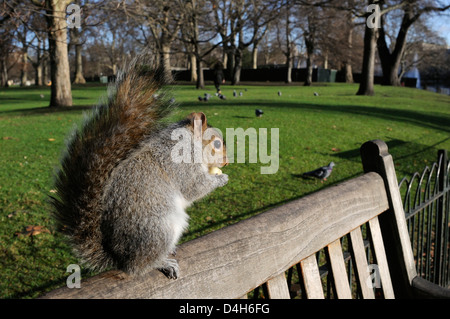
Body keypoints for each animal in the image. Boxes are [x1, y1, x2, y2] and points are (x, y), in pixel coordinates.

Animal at [50, 54, 229, 280]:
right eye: (217, 144)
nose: (227, 162)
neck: (190, 142)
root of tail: (118, 256)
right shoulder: (181, 164)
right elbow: (194, 187)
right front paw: (221, 179)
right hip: (158, 230)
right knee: (137, 268)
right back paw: (162, 263)